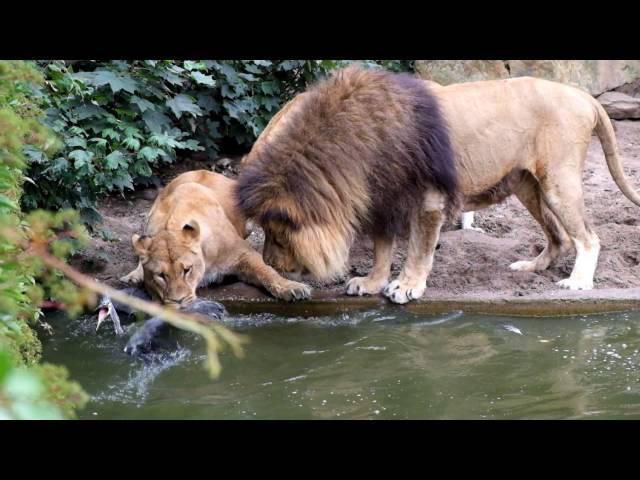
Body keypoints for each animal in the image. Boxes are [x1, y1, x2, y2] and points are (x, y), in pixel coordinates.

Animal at [121, 169, 312, 304]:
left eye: (187, 270)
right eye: (160, 275)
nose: (178, 302)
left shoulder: (243, 253)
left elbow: (268, 272)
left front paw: (293, 288)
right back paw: (132, 277)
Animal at [238, 65, 640, 304]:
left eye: (278, 235)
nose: (268, 262)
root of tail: (584, 96)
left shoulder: (427, 199)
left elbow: (418, 249)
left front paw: (406, 286)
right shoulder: (383, 200)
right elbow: (382, 249)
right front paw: (370, 282)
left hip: (558, 182)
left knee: (588, 237)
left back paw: (578, 282)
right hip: (527, 185)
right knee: (558, 236)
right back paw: (531, 267)